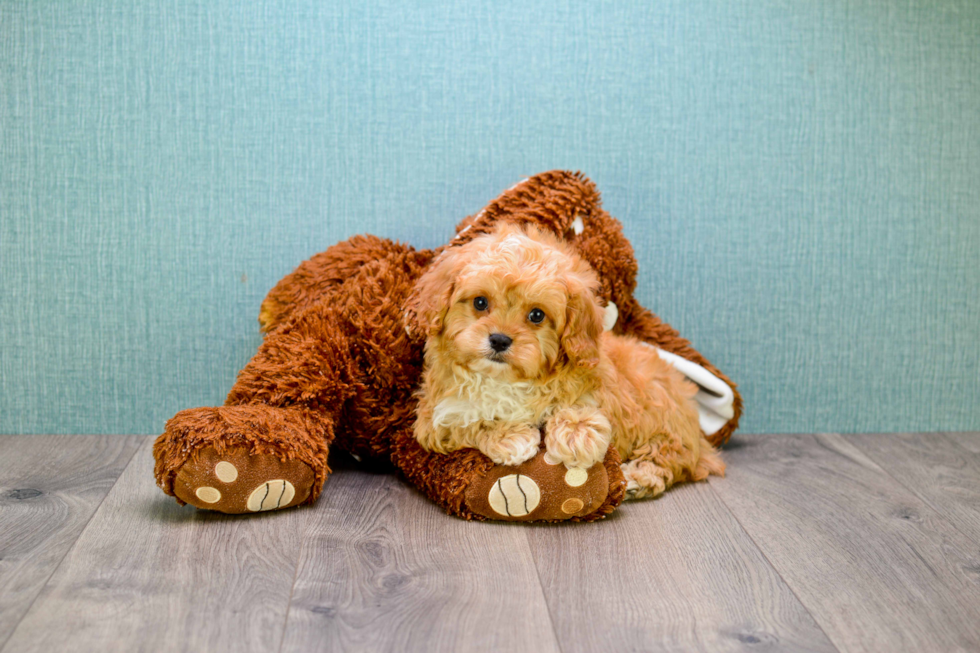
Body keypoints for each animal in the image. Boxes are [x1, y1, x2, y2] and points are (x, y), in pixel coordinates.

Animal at [410, 224, 724, 500]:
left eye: (537, 315)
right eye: (480, 302)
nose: (499, 340)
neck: (506, 380)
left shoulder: (592, 383)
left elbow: (574, 402)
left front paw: (577, 436)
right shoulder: (436, 419)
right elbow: (472, 421)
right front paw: (511, 438)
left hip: (665, 421)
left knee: (667, 458)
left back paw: (637, 478)